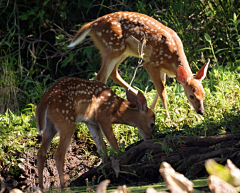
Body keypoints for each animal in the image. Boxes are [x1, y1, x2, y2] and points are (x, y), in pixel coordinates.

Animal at [68, 11, 210, 120]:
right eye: (191, 96)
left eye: (203, 94)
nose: (201, 111)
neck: (173, 57)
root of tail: (91, 24)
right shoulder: (151, 63)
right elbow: (162, 92)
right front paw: (169, 122)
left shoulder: (161, 69)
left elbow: (161, 88)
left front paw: (152, 111)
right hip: (112, 48)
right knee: (100, 77)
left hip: (123, 51)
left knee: (113, 73)